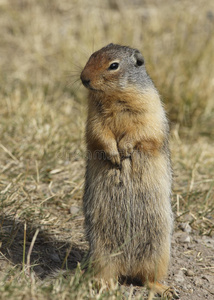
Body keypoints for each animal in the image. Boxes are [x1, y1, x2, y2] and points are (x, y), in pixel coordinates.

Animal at [80, 42, 176, 298]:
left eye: (113, 65)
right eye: (91, 56)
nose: (83, 78)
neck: (115, 97)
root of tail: (129, 266)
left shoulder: (151, 106)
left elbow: (144, 129)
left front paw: (124, 149)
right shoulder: (94, 116)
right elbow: (99, 133)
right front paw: (115, 155)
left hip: (159, 250)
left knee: (147, 278)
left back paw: (164, 288)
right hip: (101, 251)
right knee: (108, 273)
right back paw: (106, 286)